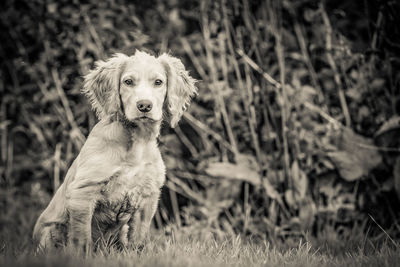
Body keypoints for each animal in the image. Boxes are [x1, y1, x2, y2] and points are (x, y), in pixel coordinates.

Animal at [32, 50, 197, 253]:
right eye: (128, 82)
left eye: (158, 82)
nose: (144, 105)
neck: (137, 141)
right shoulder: (83, 192)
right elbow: (81, 239)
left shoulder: (148, 198)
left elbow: (138, 239)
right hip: (51, 232)